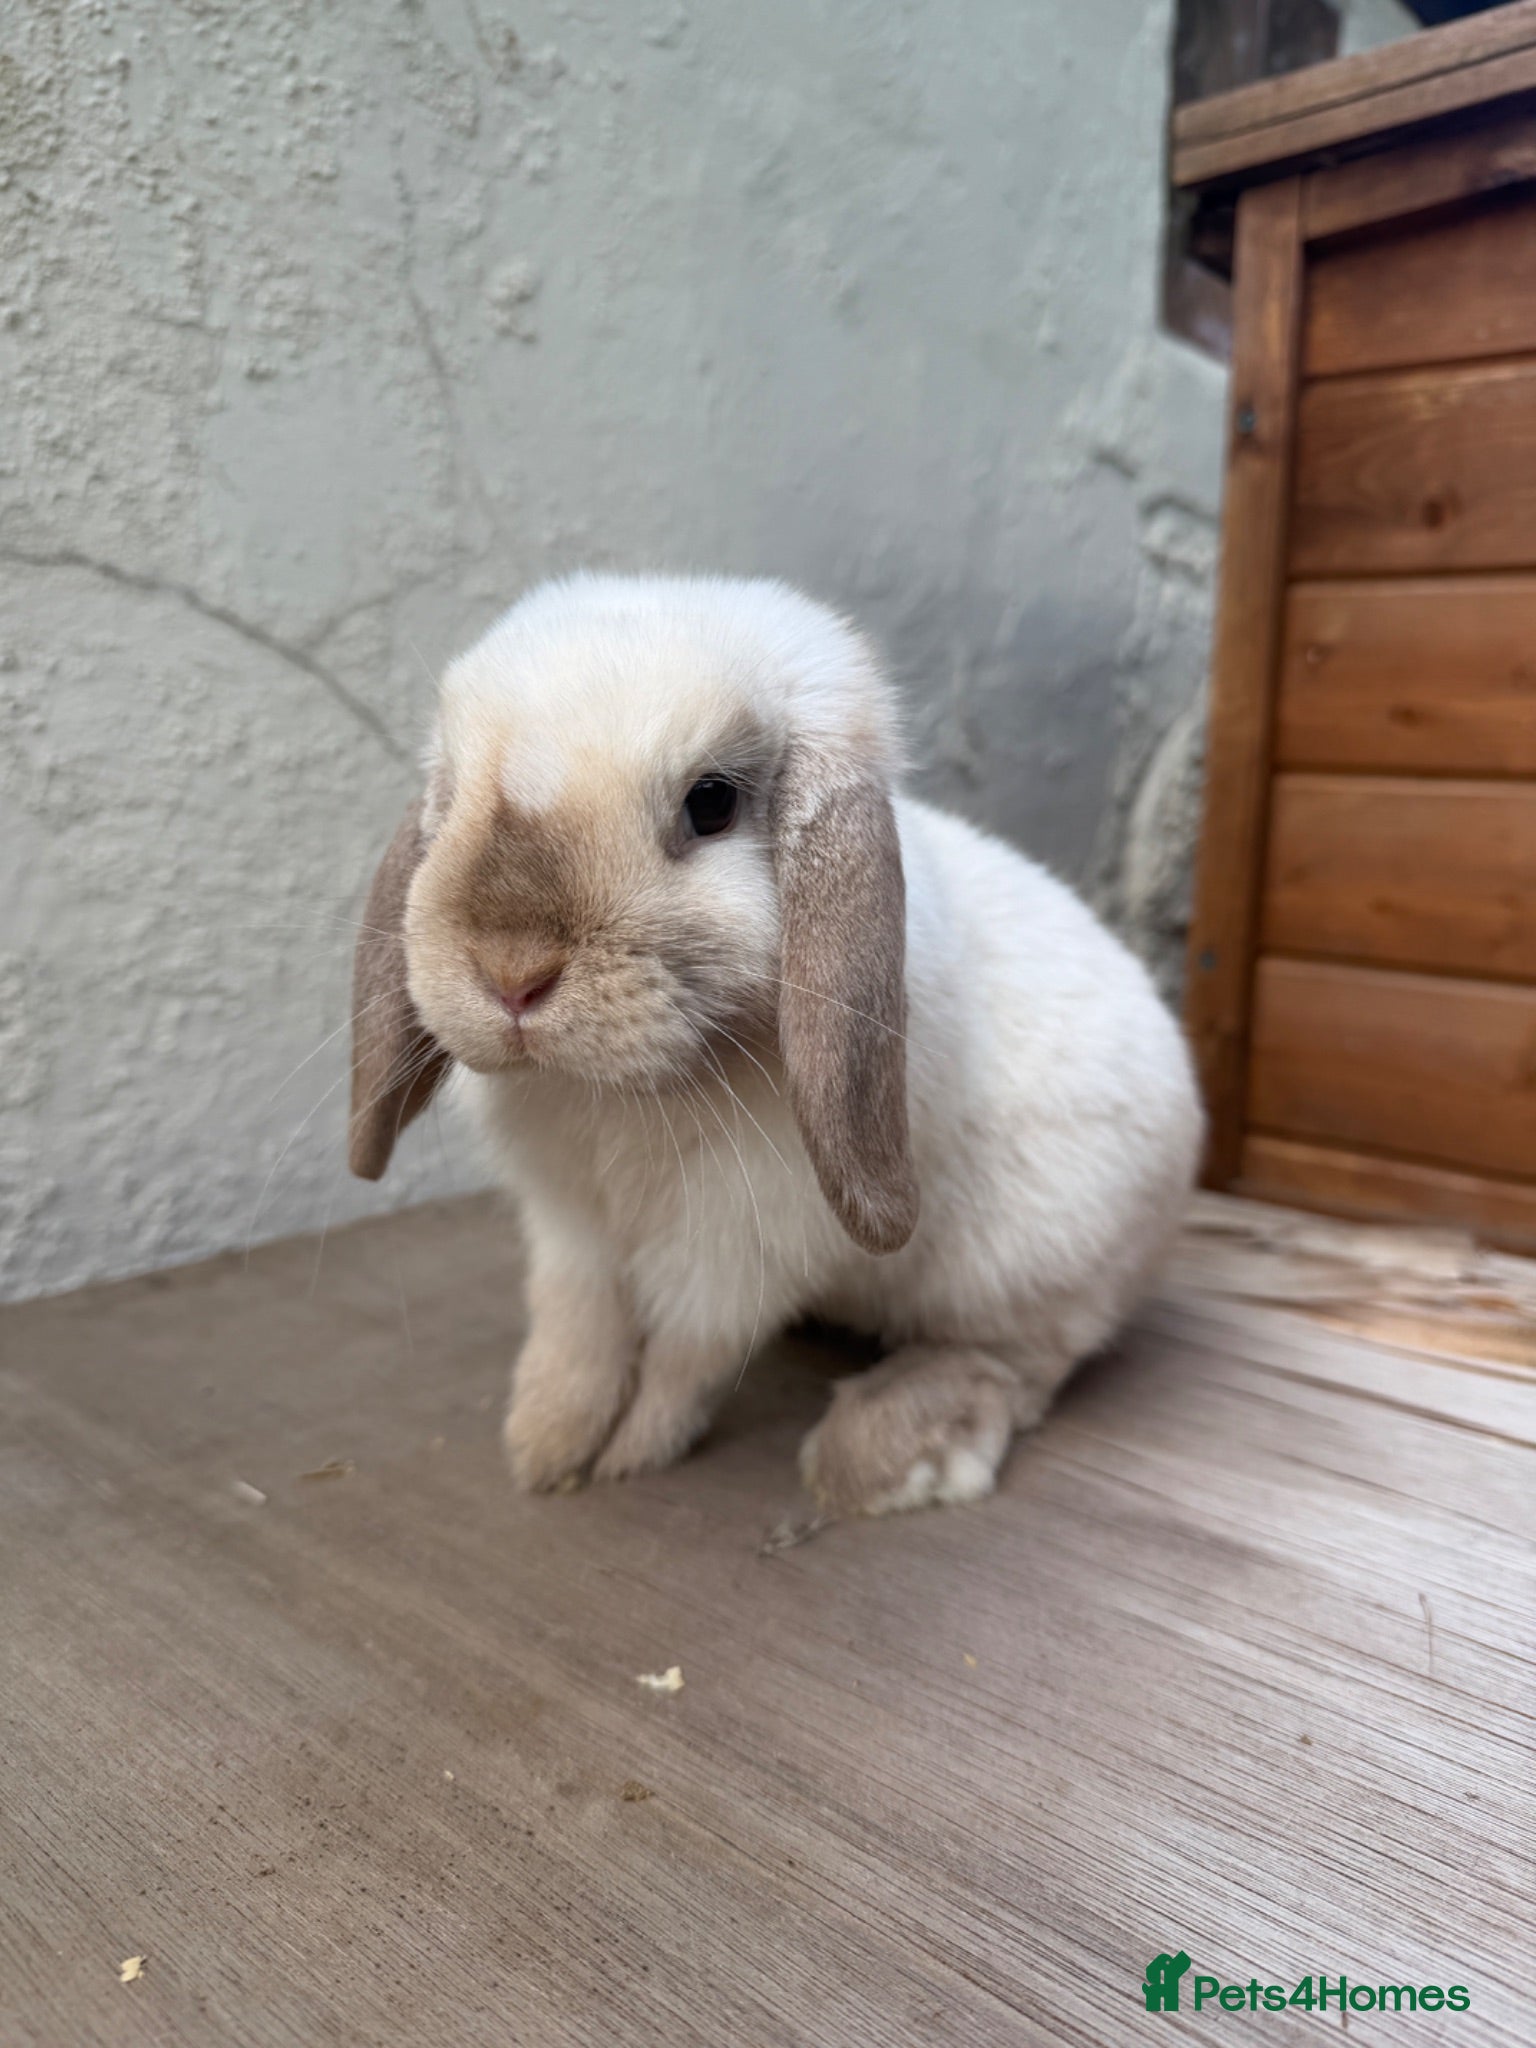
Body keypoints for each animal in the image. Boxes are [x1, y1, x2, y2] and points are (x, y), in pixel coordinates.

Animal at [348, 573, 1204, 1515]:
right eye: (455, 793)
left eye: (712, 802)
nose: (511, 972)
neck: (625, 1095)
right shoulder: (572, 1229)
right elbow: (579, 1332)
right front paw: (545, 1445)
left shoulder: (740, 1248)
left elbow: (684, 1356)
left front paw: (631, 1452)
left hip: (1030, 1269)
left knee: (1015, 1362)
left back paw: (881, 1455)